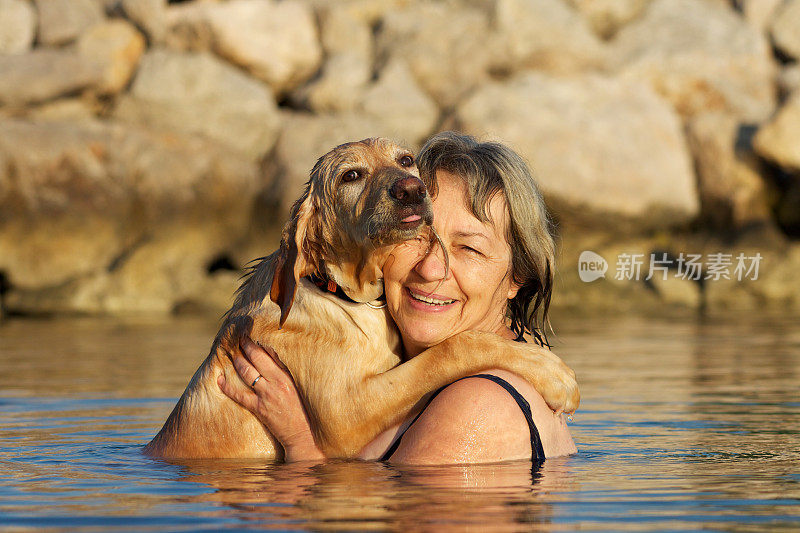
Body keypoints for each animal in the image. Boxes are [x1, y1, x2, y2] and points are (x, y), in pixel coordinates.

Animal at [144, 137, 580, 458]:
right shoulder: (346, 414)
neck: (345, 294)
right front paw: (551, 372)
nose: (412, 189)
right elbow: (452, 349)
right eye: (350, 175)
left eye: (406, 159)